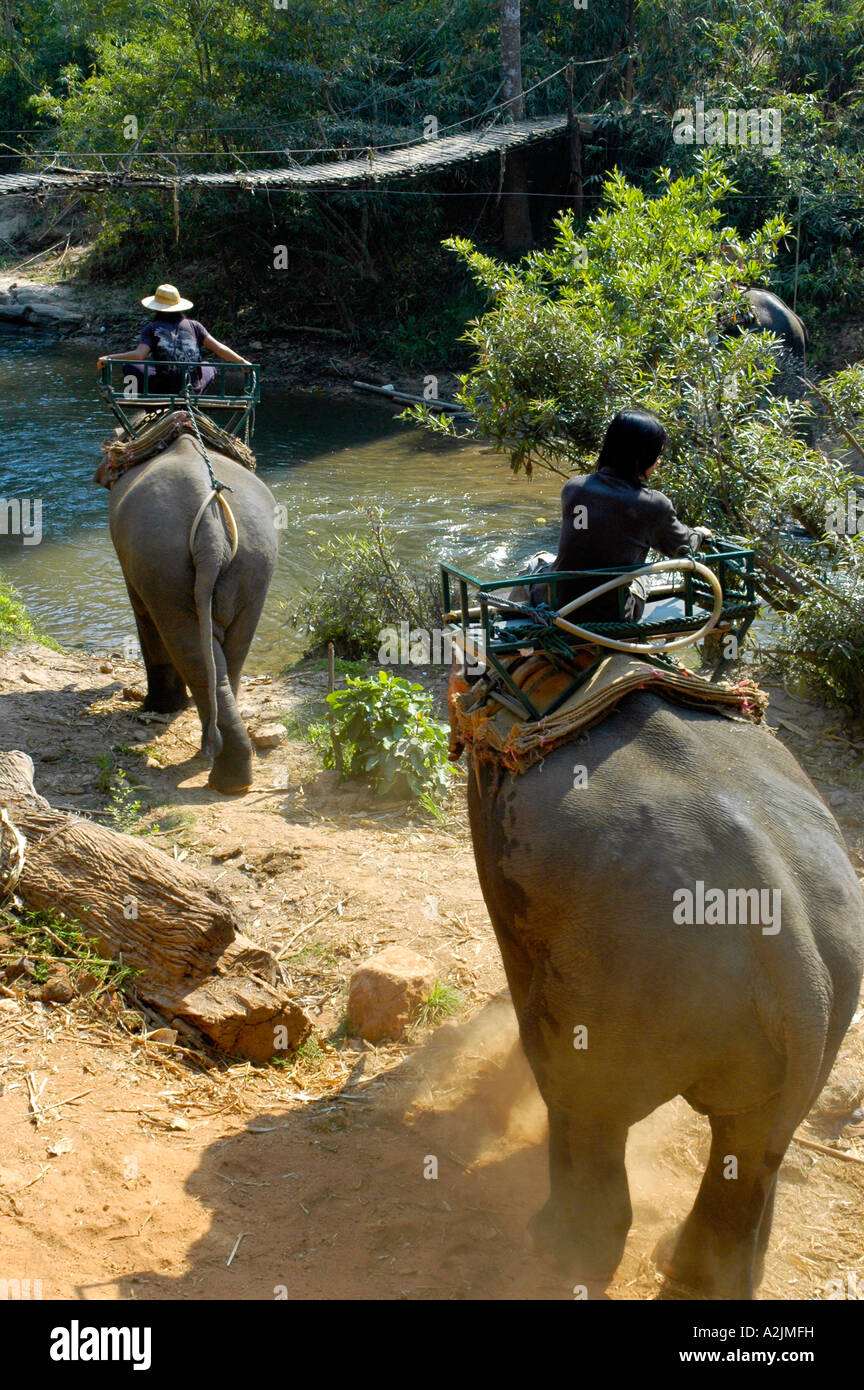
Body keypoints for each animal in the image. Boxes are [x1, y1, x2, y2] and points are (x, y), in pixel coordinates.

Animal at [106, 428, 279, 800]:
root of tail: (211, 538)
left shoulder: (136, 570)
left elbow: (143, 614)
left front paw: (158, 710)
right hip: (254, 562)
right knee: (225, 655)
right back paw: (228, 772)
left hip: (163, 563)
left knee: (186, 643)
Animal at [466, 695, 864, 1301]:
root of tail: (786, 930)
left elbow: (517, 964)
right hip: (829, 997)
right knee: (754, 1141)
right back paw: (699, 1273)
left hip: (616, 986)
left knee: (582, 1100)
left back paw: (557, 1250)